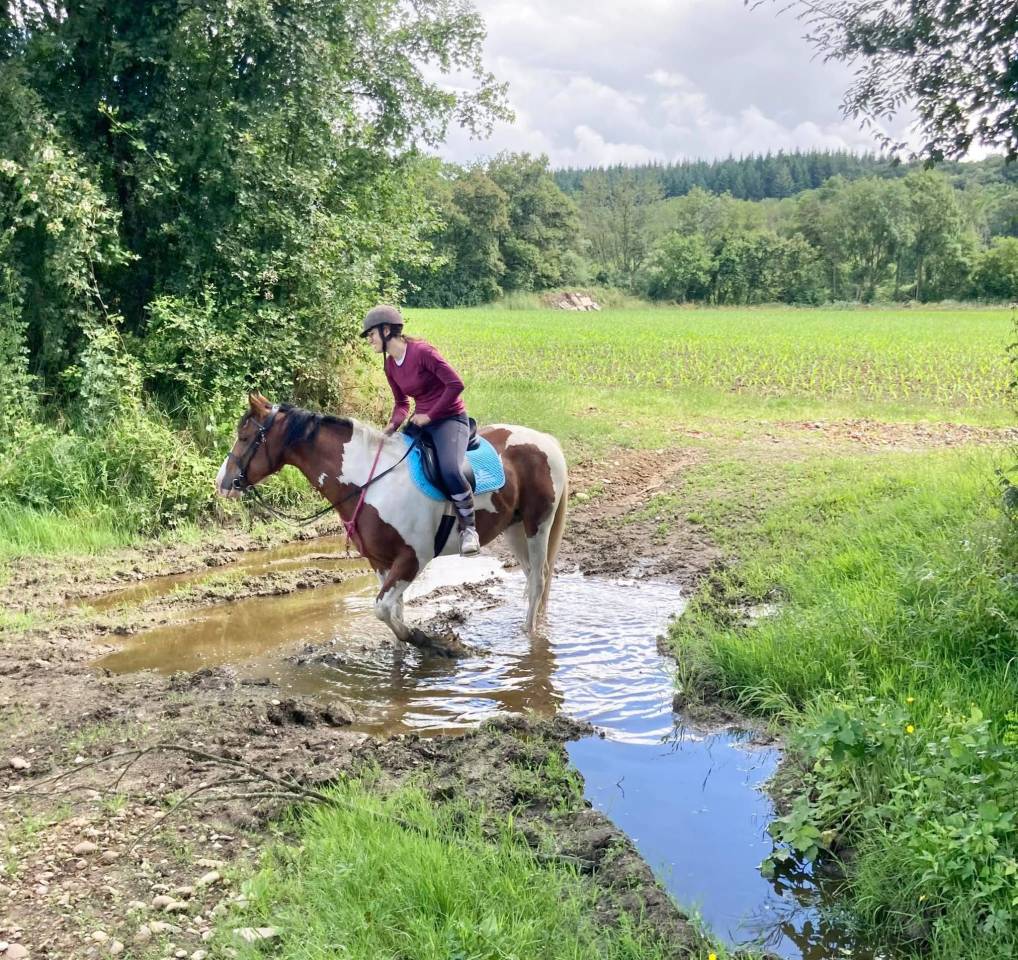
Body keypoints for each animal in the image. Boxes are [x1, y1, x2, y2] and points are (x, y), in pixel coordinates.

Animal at [215, 393, 569, 644]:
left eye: (245, 437)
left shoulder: (413, 559)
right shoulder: (381, 562)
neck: (370, 481)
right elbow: (394, 614)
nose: (222, 482)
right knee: (531, 578)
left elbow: (384, 610)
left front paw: (430, 643)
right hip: (514, 529)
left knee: (538, 580)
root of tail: (547, 441)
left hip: (537, 525)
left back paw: (528, 636)